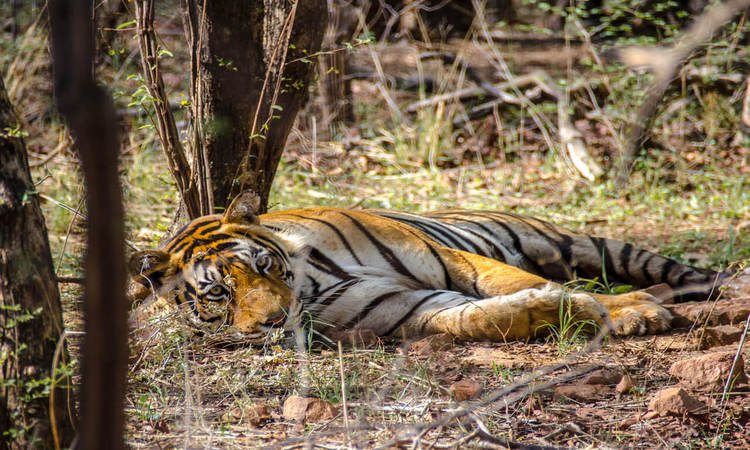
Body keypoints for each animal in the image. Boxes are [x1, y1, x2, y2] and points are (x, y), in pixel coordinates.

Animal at [131, 192, 728, 344]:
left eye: (264, 265)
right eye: (217, 295)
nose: (277, 321)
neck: (313, 281)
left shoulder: (451, 259)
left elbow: (524, 282)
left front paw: (627, 312)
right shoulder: (400, 307)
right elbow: (475, 318)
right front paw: (549, 314)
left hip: (574, 242)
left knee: (669, 269)